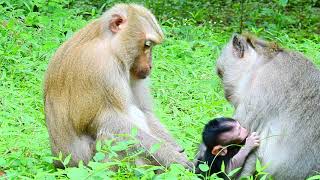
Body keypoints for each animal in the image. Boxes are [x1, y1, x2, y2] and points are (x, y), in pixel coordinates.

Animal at [43, 3, 191, 169]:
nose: (150, 66)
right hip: (91, 162)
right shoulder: (101, 66)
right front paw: (172, 157)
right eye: (147, 45)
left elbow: (144, 110)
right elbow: (108, 120)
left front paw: (177, 149)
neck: (108, 44)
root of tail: (59, 162)